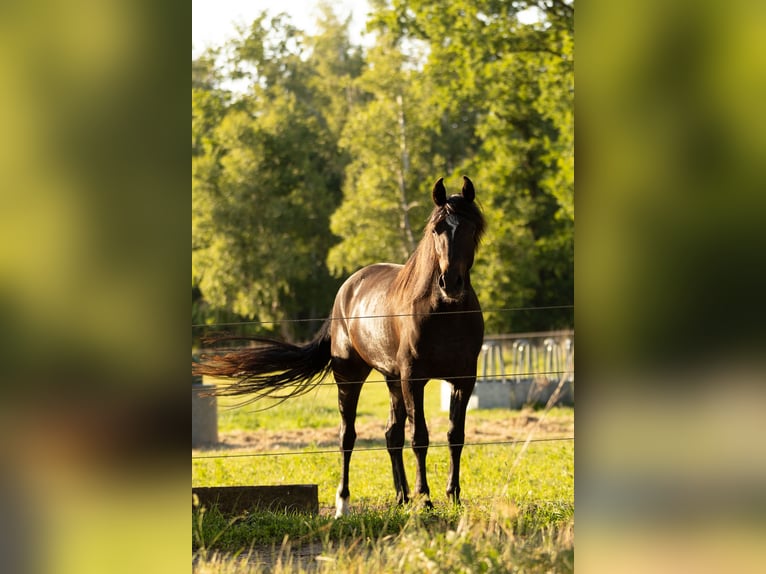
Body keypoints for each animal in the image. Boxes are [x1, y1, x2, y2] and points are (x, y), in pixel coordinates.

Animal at [195, 176, 486, 517]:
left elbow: (455, 435)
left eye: (469, 227)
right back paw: (344, 502)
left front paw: (453, 497)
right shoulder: (413, 379)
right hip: (350, 376)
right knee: (347, 435)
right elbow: (420, 438)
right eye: (436, 229)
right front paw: (424, 499)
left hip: (391, 379)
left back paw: (400, 497)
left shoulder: (463, 379)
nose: (449, 283)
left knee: (391, 434)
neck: (444, 313)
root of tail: (345, 290)